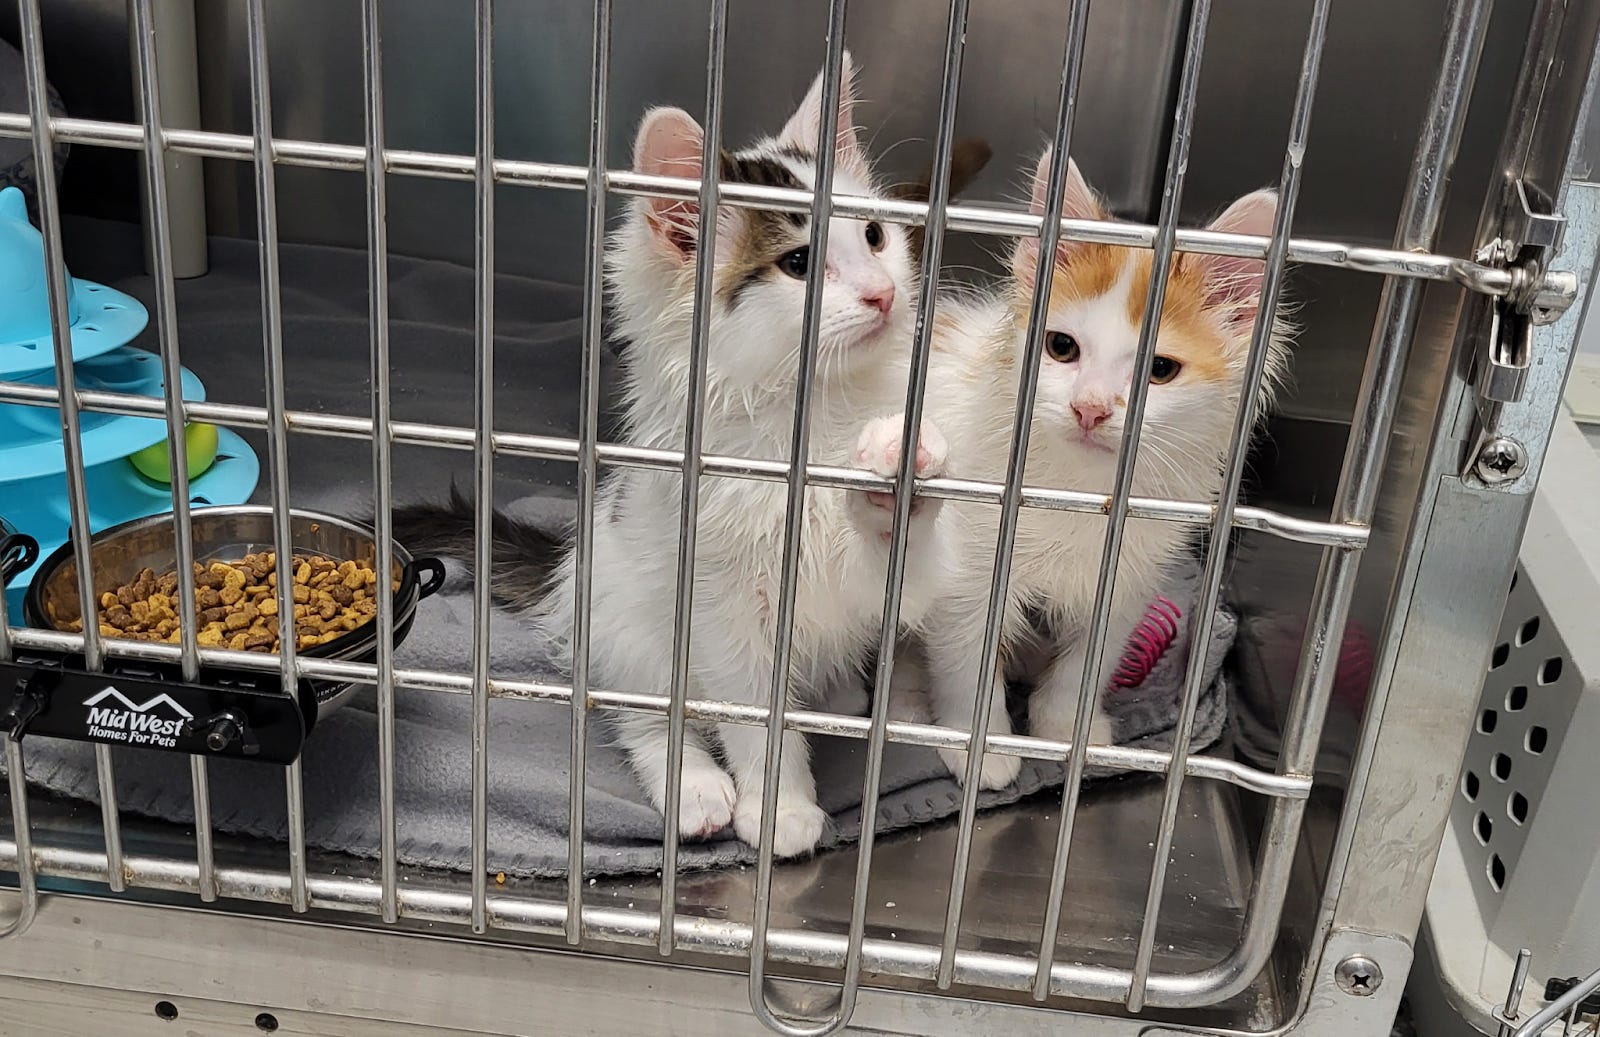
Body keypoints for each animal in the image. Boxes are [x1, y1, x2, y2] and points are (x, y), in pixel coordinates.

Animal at [394, 55, 986, 858]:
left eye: (874, 236)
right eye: (799, 263)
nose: (885, 293)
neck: (810, 421)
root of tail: (570, 573)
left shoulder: (885, 581)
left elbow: (903, 569)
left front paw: (896, 465)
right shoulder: (718, 602)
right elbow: (752, 714)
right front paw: (780, 807)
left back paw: (836, 692)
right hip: (630, 623)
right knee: (642, 714)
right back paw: (694, 786)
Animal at [878, 148, 1290, 788]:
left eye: (1160, 370)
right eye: (1061, 348)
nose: (1090, 408)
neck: (1078, 488)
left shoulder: (1127, 576)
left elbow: (1088, 662)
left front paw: (1067, 728)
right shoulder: (968, 571)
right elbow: (965, 654)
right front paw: (980, 744)